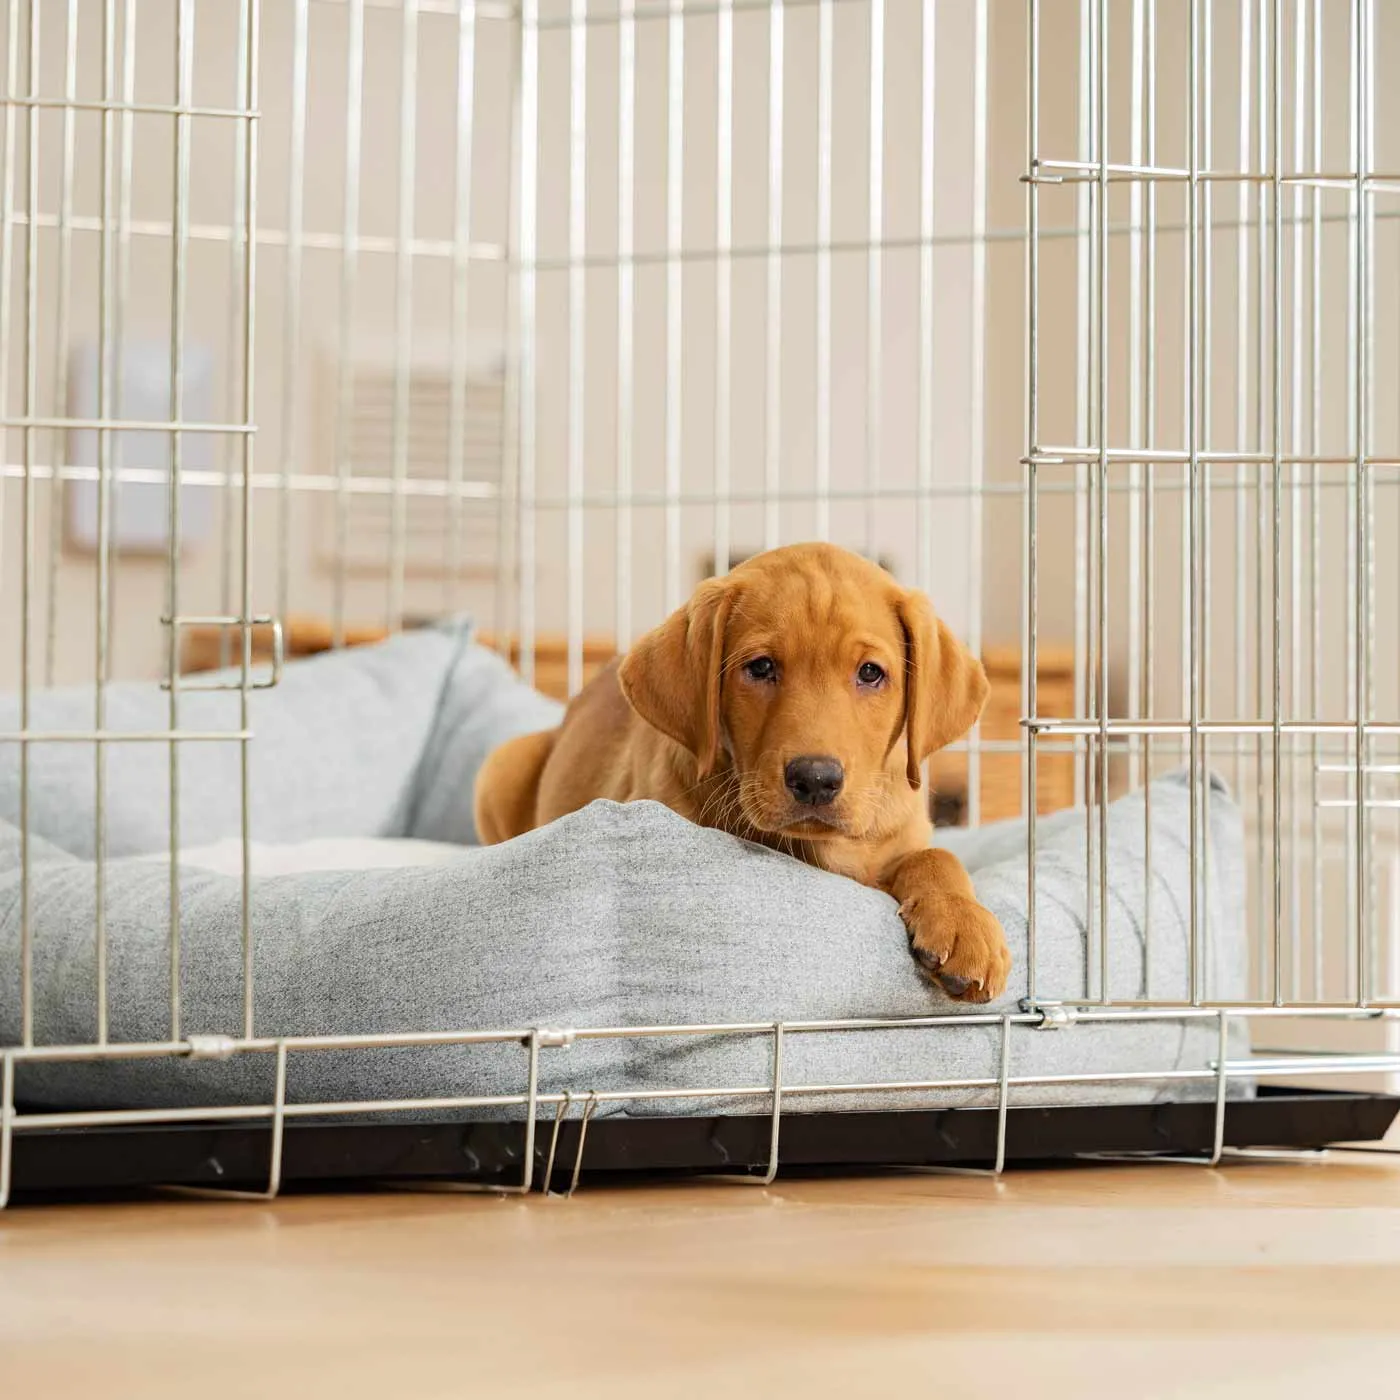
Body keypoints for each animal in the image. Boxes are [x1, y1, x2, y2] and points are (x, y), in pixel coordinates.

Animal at [476, 540, 1013, 1002]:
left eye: (870, 673)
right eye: (760, 667)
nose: (815, 780)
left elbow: (937, 855)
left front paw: (966, 925)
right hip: (502, 763)